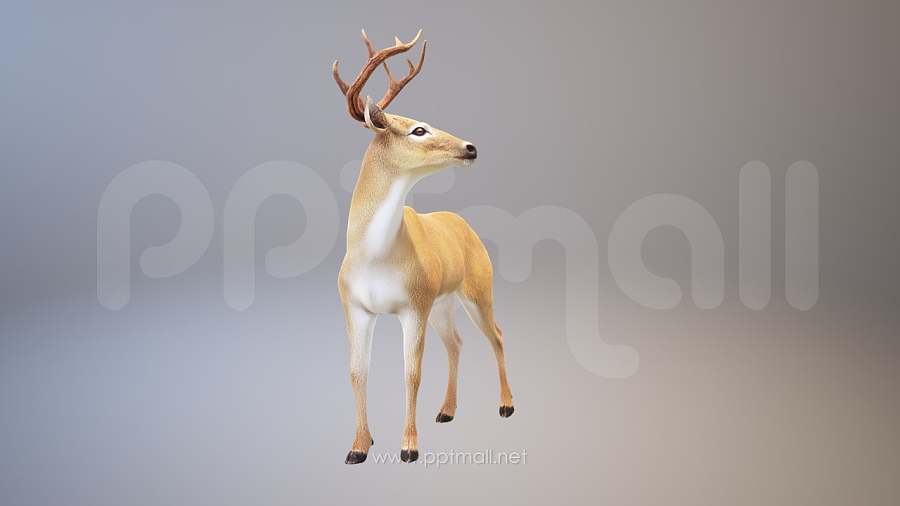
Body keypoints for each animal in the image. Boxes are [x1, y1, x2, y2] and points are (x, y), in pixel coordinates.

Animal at [332, 29, 514, 464]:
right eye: (418, 129)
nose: (470, 147)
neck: (376, 256)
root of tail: (462, 223)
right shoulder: (355, 307)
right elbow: (357, 372)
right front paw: (359, 446)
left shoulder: (413, 304)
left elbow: (411, 372)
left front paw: (409, 447)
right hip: (443, 303)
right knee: (457, 343)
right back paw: (447, 410)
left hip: (477, 289)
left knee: (497, 335)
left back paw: (506, 405)